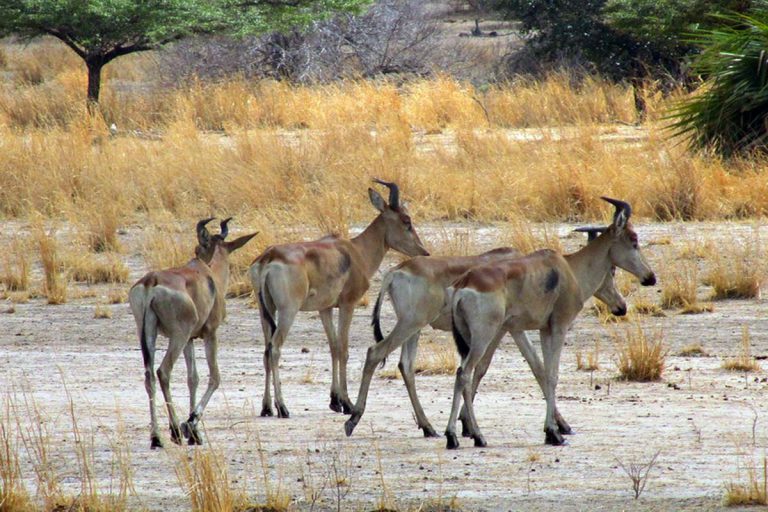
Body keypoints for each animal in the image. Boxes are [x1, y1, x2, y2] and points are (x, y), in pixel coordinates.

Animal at [127, 218, 256, 450]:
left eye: (198, 248)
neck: (205, 273)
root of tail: (151, 282)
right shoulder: (210, 334)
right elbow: (214, 377)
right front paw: (191, 425)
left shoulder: (190, 340)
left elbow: (192, 378)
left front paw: (193, 433)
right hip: (177, 336)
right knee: (163, 371)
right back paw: (175, 431)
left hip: (148, 332)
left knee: (149, 376)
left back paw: (156, 437)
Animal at [252, 178, 432, 418]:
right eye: (406, 220)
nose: (424, 252)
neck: (353, 249)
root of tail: (269, 257)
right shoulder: (348, 304)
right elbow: (344, 349)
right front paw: (346, 402)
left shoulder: (325, 308)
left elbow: (334, 347)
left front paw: (335, 401)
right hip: (288, 311)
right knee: (274, 349)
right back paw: (283, 407)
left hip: (266, 310)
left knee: (265, 351)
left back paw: (266, 407)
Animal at [344, 234, 628, 438]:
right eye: (611, 272)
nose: (621, 307)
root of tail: (396, 271)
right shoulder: (505, 330)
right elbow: (496, 368)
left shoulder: (508, 329)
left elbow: (529, 367)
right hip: (410, 324)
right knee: (375, 353)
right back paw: (353, 419)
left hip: (414, 329)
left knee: (406, 366)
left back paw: (428, 427)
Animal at [448, 198, 656, 450]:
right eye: (633, 241)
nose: (650, 278)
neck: (568, 268)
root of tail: (463, 284)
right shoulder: (559, 326)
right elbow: (552, 375)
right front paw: (554, 433)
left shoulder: (543, 329)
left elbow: (543, 372)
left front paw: (553, 430)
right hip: (483, 336)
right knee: (465, 373)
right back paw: (474, 436)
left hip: (471, 338)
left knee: (463, 374)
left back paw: (454, 435)